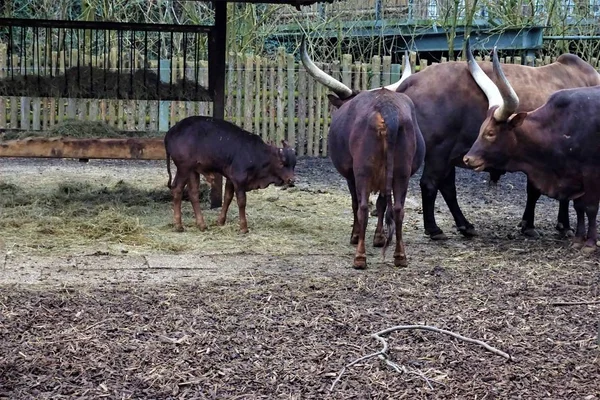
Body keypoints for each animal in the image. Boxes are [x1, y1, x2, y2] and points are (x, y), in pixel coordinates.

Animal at [165, 115, 296, 233]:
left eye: (294, 164)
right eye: (281, 163)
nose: (292, 180)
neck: (256, 155)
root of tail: (171, 131)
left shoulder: (230, 178)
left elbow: (227, 197)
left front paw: (221, 221)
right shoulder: (239, 179)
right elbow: (241, 202)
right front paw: (243, 227)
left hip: (193, 170)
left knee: (193, 193)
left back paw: (201, 224)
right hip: (184, 168)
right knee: (177, 189)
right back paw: (178, 225)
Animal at [328, 88, 426, 268]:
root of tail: (387, 108)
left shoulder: (351, 176)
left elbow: (355, 203)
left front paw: (355, 235)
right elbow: (381, 204)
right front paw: (379, 237)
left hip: (363, 170)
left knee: (363, 208)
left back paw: (360, 257)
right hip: (402, 171)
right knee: (398, 209)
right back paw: (400, 256)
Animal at [464, 48, 600, 252]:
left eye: (490, 133)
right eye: (481, 129)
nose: (468, 159)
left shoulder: (592, 173)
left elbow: (590, 207)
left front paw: (590, 242)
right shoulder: (576, 178)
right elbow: (579, 207)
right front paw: (578, 238)